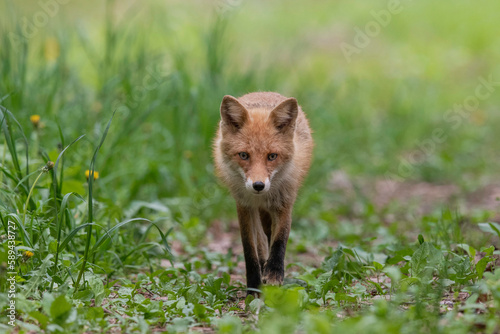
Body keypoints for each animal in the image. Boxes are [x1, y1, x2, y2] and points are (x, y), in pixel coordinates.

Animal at [213, 92, 314, 294]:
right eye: (244, 155)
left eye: (272, 156)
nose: (258, 185)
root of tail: (263, 92)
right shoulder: (244, 206)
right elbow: (249, 249)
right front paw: (253, 288)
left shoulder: (284, 202)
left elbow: (280, 239)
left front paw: (274, 274)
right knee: (260, 242)